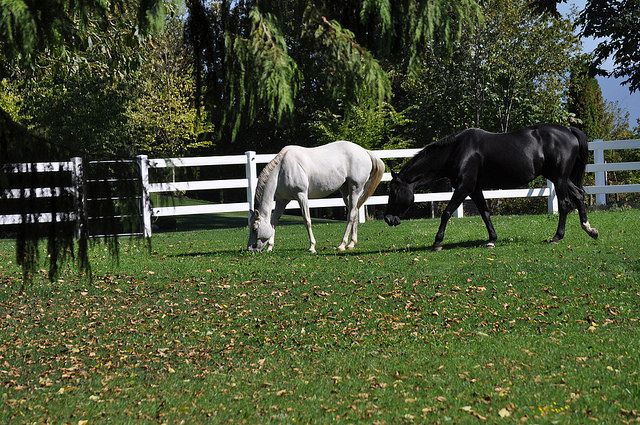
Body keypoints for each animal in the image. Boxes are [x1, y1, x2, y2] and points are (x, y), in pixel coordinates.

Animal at [248, 141, 382, 252]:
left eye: (254, 228)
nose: (250, 249)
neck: (281, 169)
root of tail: (364, 151)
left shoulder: (301, 196)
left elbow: (307, 220)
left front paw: (312, 247)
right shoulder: (282, 200)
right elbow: (274, 221)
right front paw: (270, 247)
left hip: (355, 189)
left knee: (351, 215)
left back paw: (342, 245)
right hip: (346, 192)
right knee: (354, 211)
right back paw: (351, 244)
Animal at [384, 122, 600, 248]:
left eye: (393, 192)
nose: (388, 219)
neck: (458, 150)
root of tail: (569, 131)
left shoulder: (463, 187)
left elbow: (447, 212)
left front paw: (437, 242)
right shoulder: (474, 189)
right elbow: (485, 213)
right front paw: (492, 239)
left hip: (560, 178)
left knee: (564, 204)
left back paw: (557, 237)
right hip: (561, 178)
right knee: (578, 196)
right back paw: (590, 230)